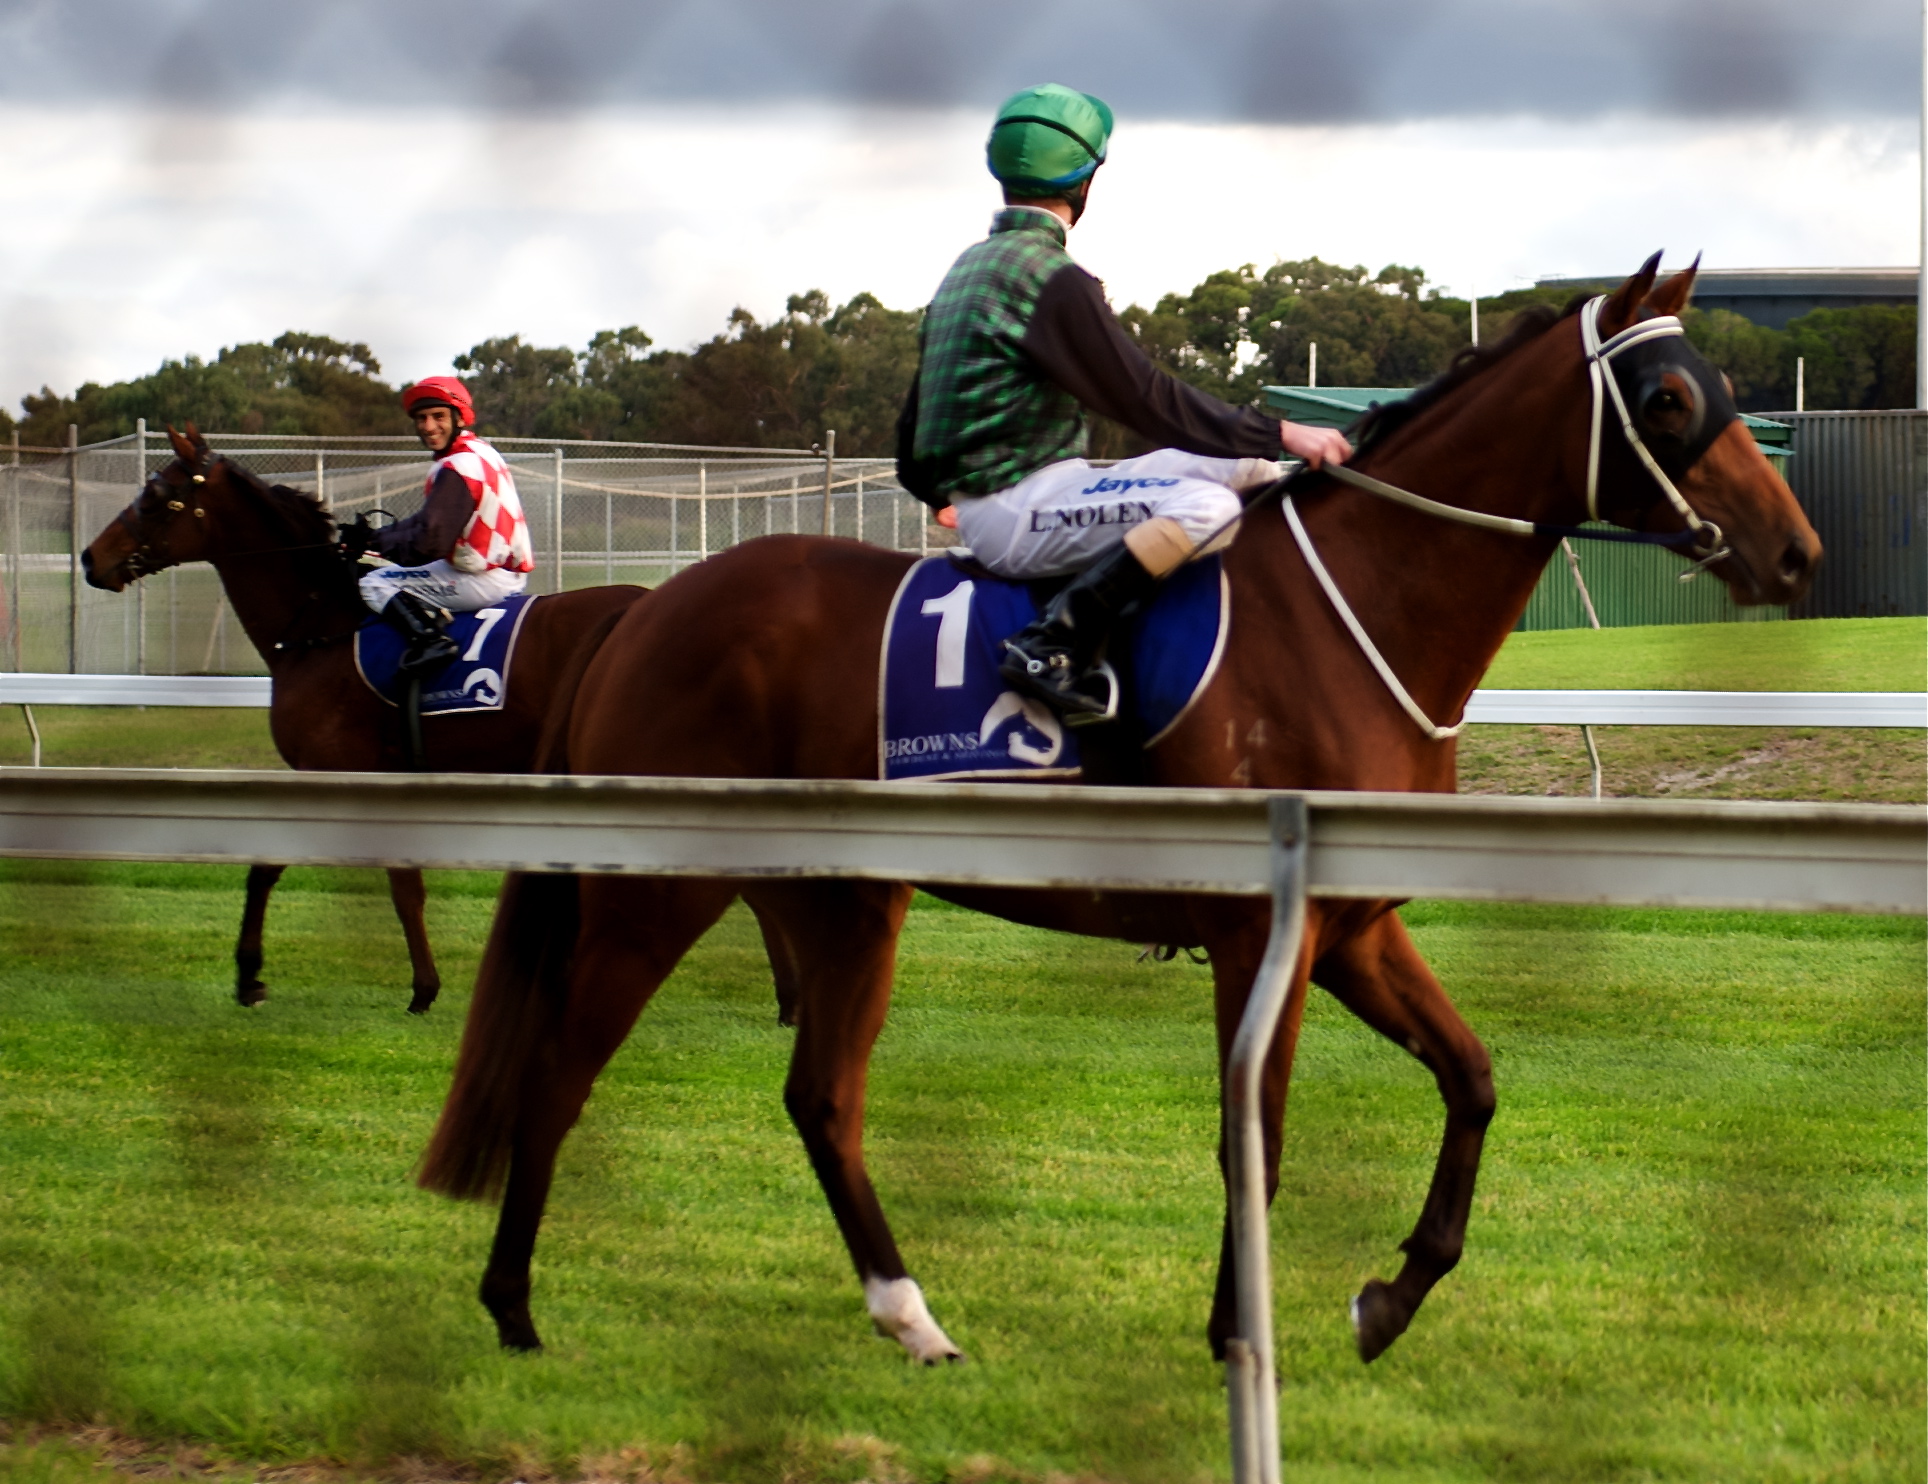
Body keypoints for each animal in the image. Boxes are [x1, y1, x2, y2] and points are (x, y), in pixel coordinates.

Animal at [80, 422, 647, 1009]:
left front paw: (251, 973)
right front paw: (424, 985)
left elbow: (273, 867)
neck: (321, 626)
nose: (90, 558)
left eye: (153, 496)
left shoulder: (330, 772)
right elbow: (403, 886)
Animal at [422, 258, 1820, 1364]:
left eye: (1722, 388)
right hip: (657, 887)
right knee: (563, 1065)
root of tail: (641, 610)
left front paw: (1386, 1296)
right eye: (1669, 400)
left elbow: (1470, 1079)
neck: (1350, 607)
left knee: (822, 1098)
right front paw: (1238, 1331)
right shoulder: (1258, 934)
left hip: (845, 899)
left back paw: (912, 1318)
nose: (1796, 552)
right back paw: (511, 1304)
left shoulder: (1351, 926)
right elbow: (1256, 1138)